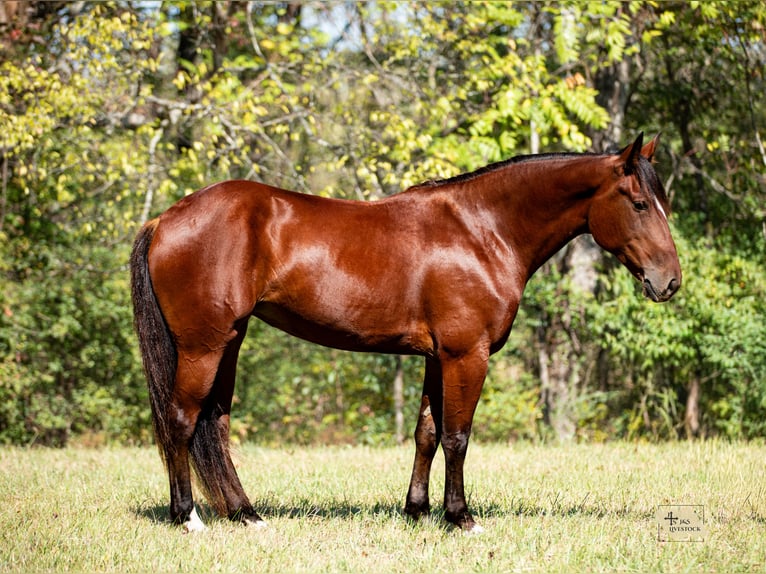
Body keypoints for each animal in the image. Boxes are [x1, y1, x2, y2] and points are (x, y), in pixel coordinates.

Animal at [130, 132, 680, 533]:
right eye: (638, 203)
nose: (669, 281)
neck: (481, 231)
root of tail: (164, 219)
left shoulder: (437, 357)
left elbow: (427, 433)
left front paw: (416, 511)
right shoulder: (466, 354)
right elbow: (457, 436)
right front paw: (460, 518)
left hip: (229, 343)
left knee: (215, 425)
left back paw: (247, 514)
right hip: (202, 346)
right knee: (180, 420)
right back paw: (188, 518)